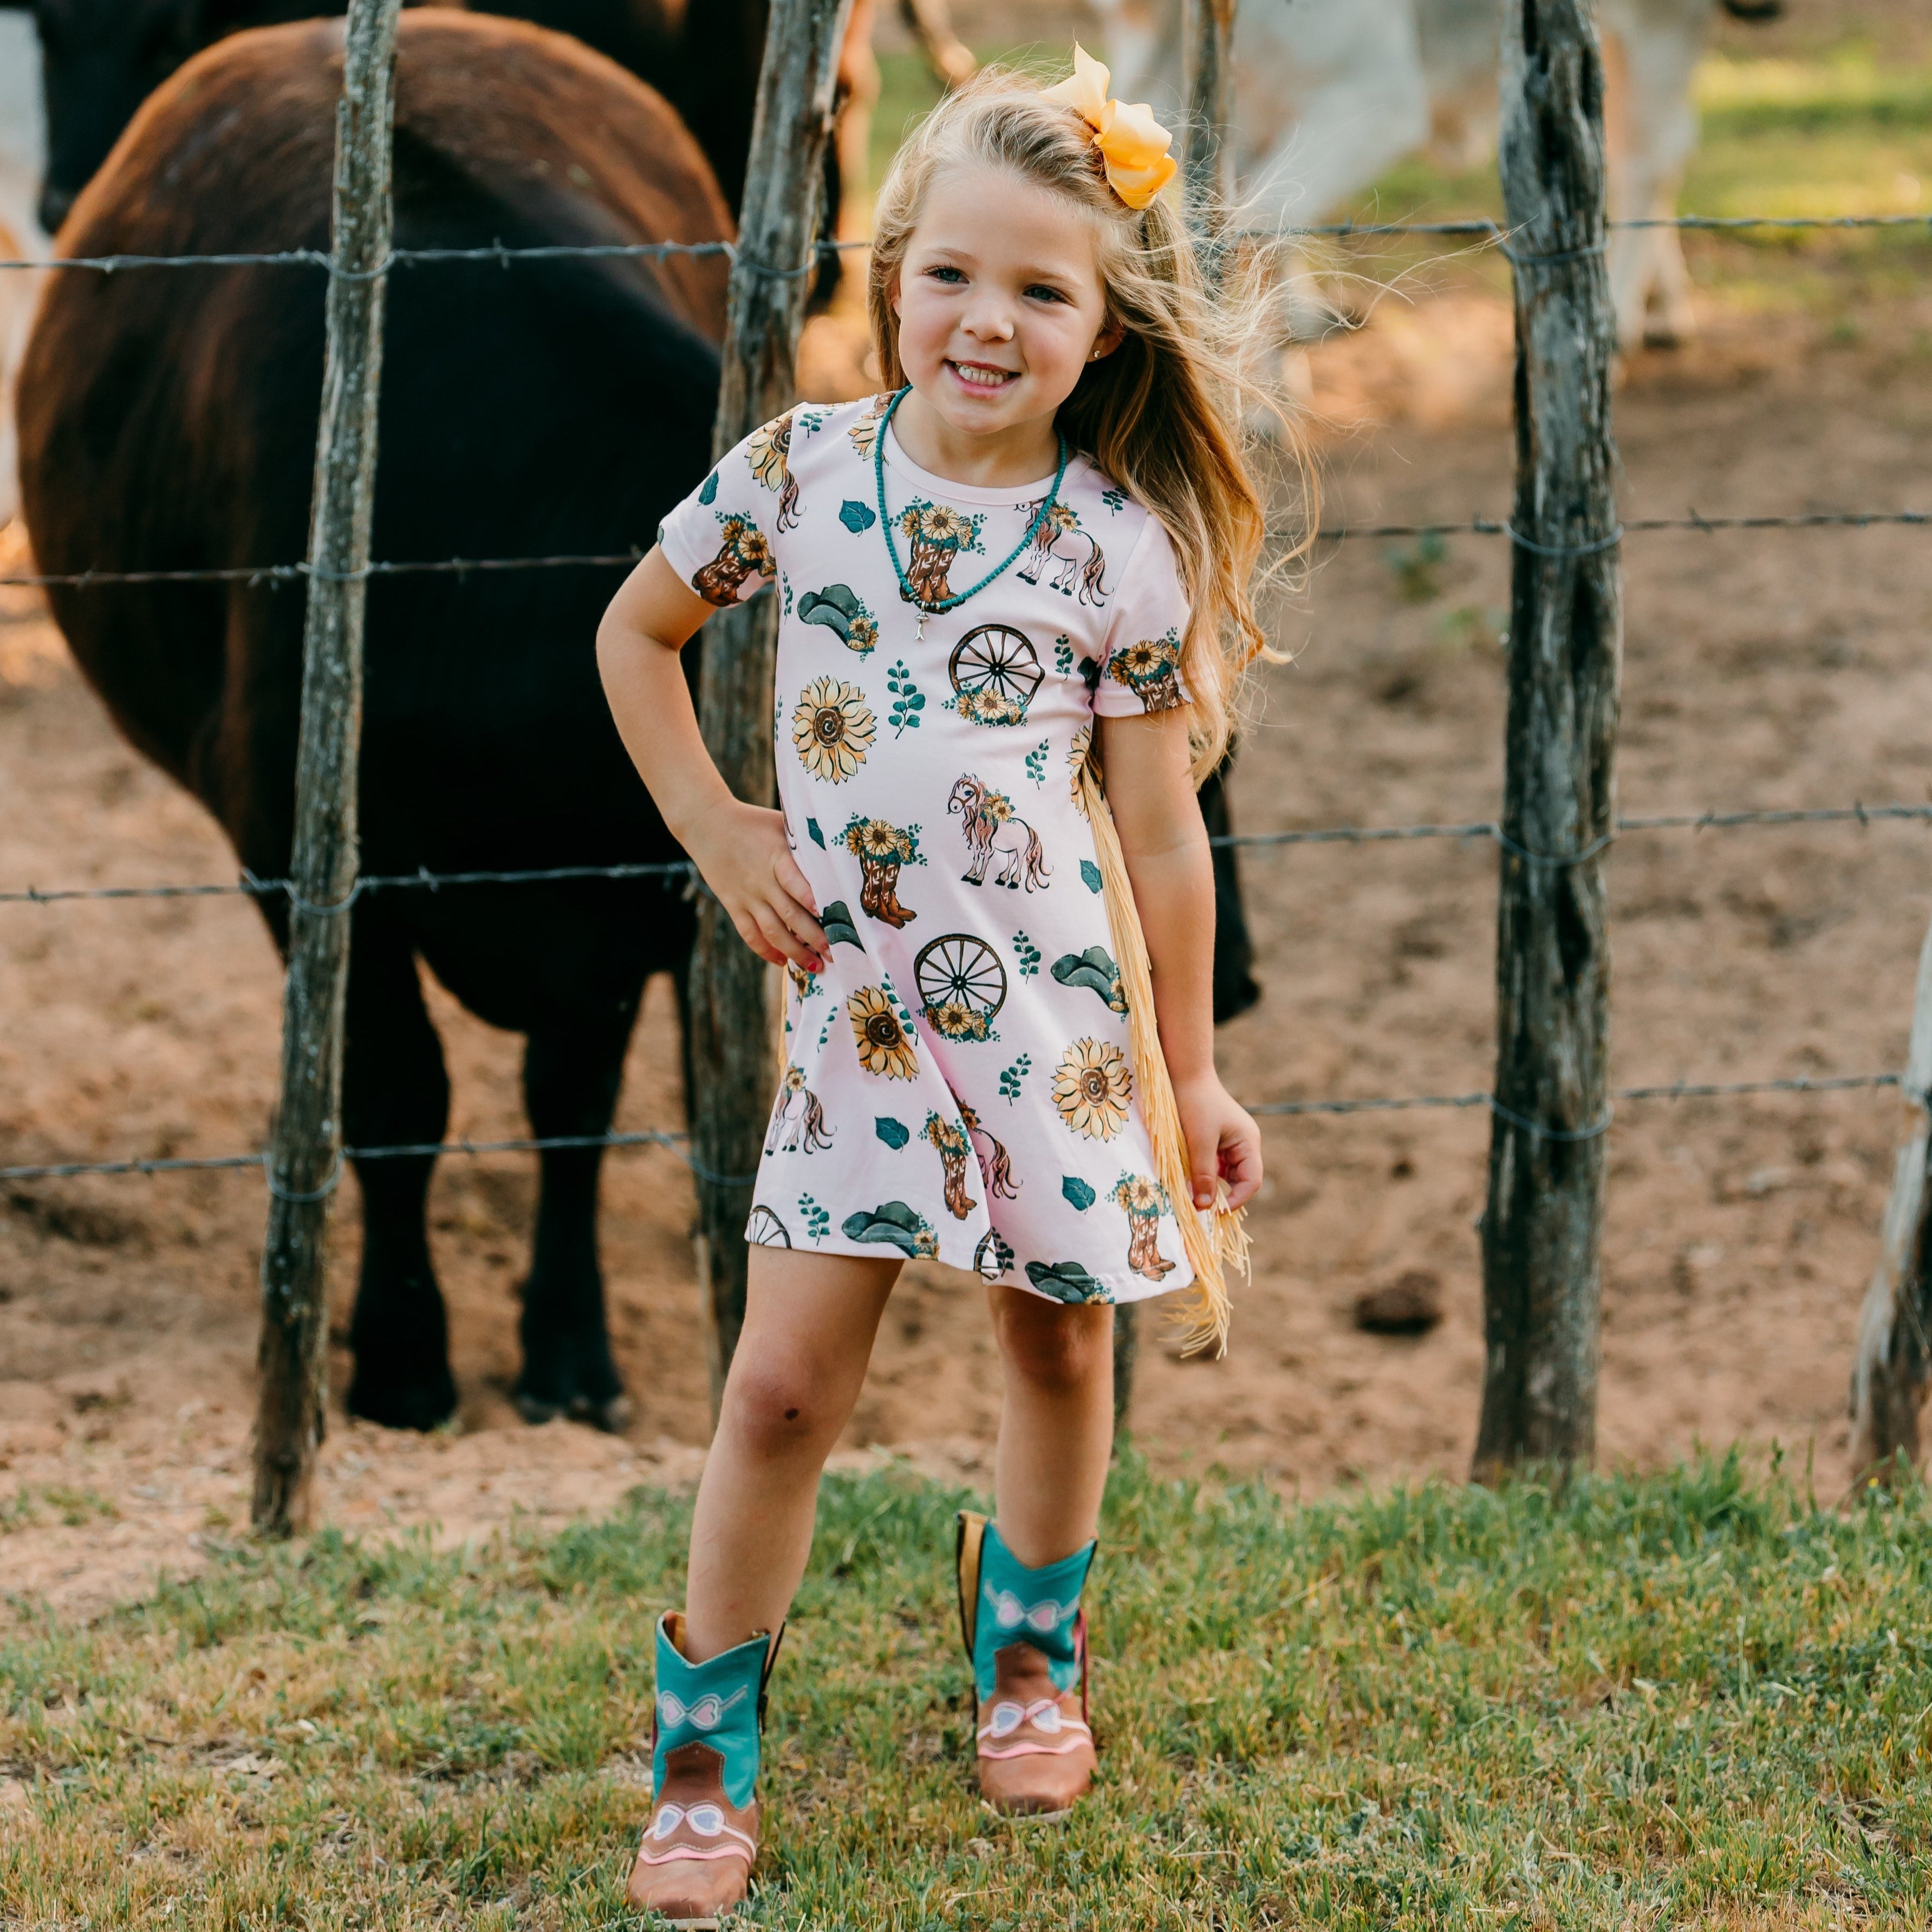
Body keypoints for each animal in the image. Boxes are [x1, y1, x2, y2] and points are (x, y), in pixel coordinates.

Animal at [21, 11, 730, 1437]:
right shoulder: (300, 857)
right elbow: (399, 1098)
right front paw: (403, 1357)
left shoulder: (613, 902)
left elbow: (569, 1105)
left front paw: (569, 1352)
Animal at [1097, 0, 1770, 343]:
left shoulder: (1375, 102)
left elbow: (1256, 222)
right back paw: (1663, 306)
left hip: (1659, 31)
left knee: (1647, 159)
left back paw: (1620, 317)